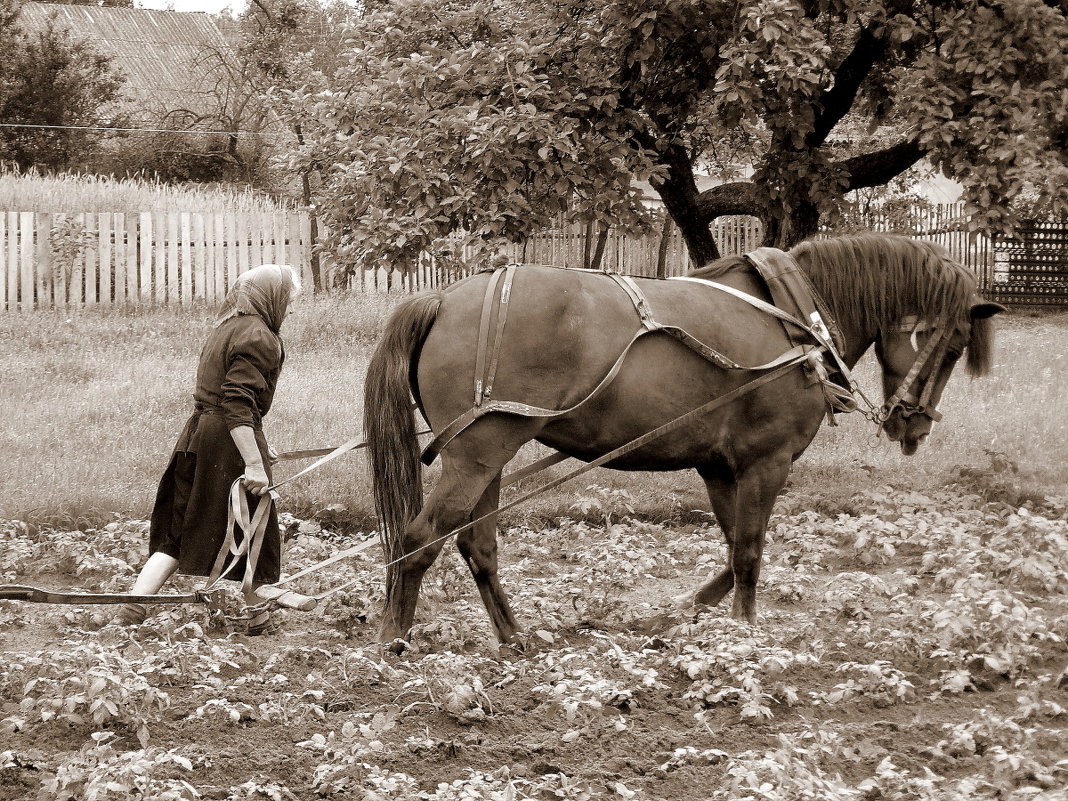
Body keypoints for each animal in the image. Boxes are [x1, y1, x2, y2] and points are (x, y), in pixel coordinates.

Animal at [363, 230, 1003, 645]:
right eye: (952, 344)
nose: (914, 425)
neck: (795, 321)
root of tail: (443, 299)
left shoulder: (720, 465)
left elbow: (733, 545)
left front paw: (690, 610)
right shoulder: (766, 461)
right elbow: (750, 549)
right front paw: (744, 634)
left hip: (489, 455)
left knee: (477, 545)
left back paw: (514, 637)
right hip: (477, 453)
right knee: (418, 539)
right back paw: (394, 640)